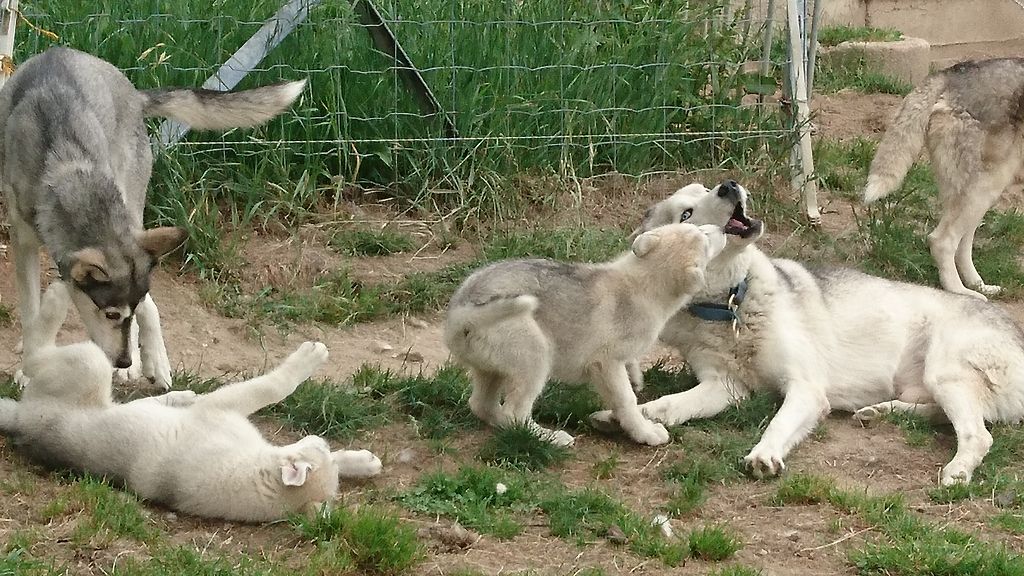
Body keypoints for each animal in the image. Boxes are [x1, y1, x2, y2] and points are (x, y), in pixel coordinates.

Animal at [0, 45, 303, 385]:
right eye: (111, 314)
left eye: (123, 314)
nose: (123, 360)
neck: (67, 171)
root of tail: (133, 93)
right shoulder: (24, 242)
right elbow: (31, 312)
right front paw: (28, 365)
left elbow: (142, 309)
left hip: (134, 213)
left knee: (152, 305)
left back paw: (152, 362)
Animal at [0, 280, 382, 522]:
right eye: (317, 447)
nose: (320, 439)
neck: (253, 469)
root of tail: (20, 418)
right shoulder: (223, 408)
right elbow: (273, 387)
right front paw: (360, 460)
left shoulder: (217, 408)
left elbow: (272, 387)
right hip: (93, 366)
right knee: (35, 356)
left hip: (88, 364)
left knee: (37, 355)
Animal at [444, 219, 724, 444]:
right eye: (704, 240)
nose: (723, 229)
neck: (642, 282)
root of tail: (461, 311)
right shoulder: (607, 363)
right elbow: (627, 401)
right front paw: (645, 433)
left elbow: (631, 376)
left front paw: (636, 379)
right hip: (534, 354)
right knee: (514, 413)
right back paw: (550, 438)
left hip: (492, 368)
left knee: (483, 405)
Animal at [593, 180, 1024, 483]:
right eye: (686, 213)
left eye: (705, 188)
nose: (729, 184)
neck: (731, 303)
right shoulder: (723, 388)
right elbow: (667, 405)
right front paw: (622, 417)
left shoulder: (805, 387)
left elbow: (779, 422)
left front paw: (765, 455)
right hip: (931, 385)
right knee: (946, 416)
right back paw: (879, 412)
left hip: (944, 371)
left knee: (978, 434)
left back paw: (956, 472)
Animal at [864, 57, 1024, 301]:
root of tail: (950, 73)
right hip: (985, 189)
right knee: (942, 241)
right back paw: (961, 291)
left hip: (975, 194)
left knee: (962, 244)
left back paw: (978, 286)